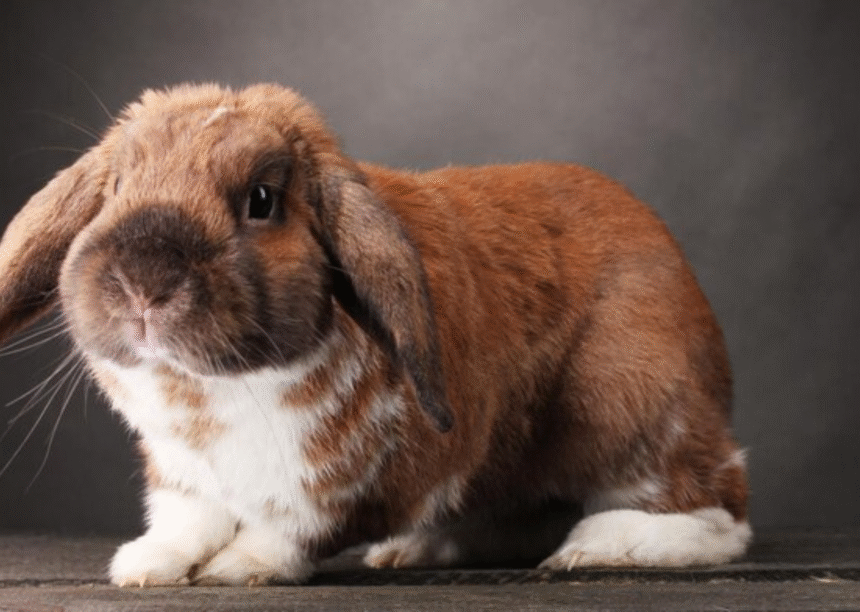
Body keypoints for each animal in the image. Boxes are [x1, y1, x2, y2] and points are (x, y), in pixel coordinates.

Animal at [0, 83, 751, 586]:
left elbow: (290, 526)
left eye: (262, 200)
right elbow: (186, 519)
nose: (143, 286)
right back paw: (418, 548)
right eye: (115, 188)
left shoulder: (335, 479)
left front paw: (240, 567)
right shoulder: (183, 474)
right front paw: (145, 564)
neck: (212, 391)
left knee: (721, 515)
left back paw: (603, 547)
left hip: (634, 409)